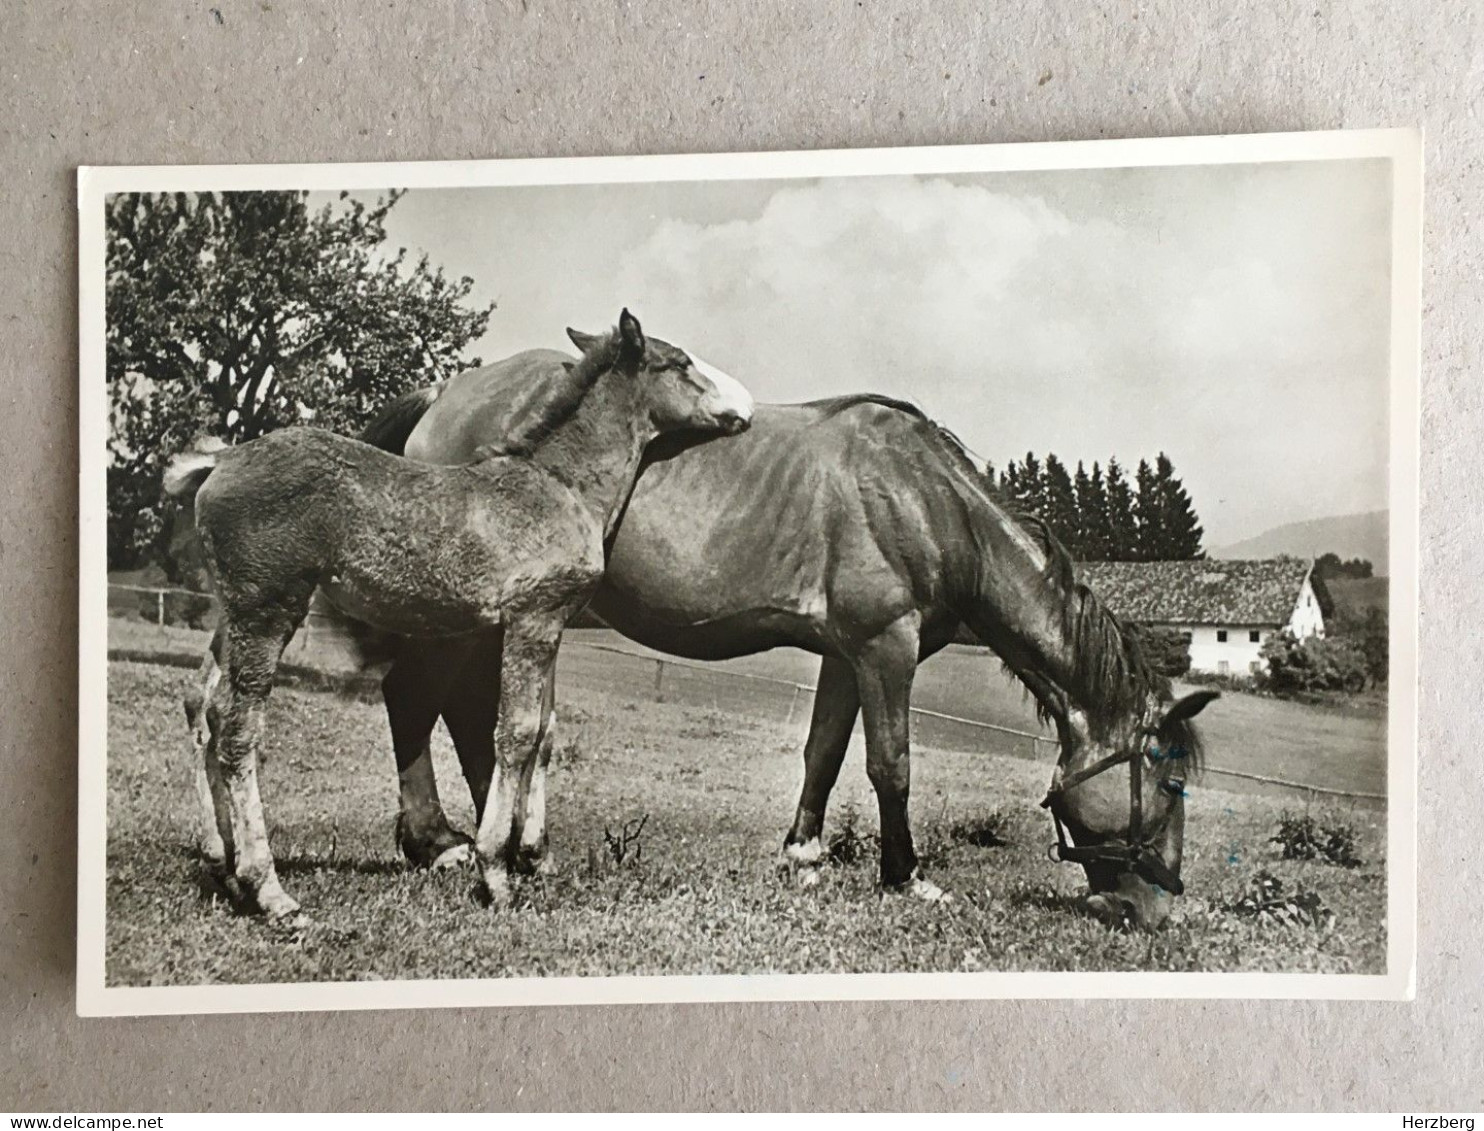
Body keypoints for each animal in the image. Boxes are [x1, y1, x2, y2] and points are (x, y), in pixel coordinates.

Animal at [165, 308, 753, 914]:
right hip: (269, 608)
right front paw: (495, 871)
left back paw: (222, 864)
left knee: (201, 707)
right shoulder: (532, 619)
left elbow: (544, 733)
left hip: (232, 615)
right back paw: (269, 889)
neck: (559, 485)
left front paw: (530, 855)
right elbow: (514, 733)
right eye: (678, 363)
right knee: (237, 727)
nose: (746, 406)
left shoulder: (554, 624)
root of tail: (221, 460)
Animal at [359, 345, 1216, 926]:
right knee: (417, 697)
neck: (927, 498)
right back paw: (440, 843)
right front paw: (905, 873)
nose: (1155, 910)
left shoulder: (847, 653)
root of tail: (447, 391)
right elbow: (891, 763)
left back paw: (517, 850)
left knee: (469, 714)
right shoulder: (886, 648)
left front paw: (802, 853)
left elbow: (825, 753)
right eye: (1168, 784)